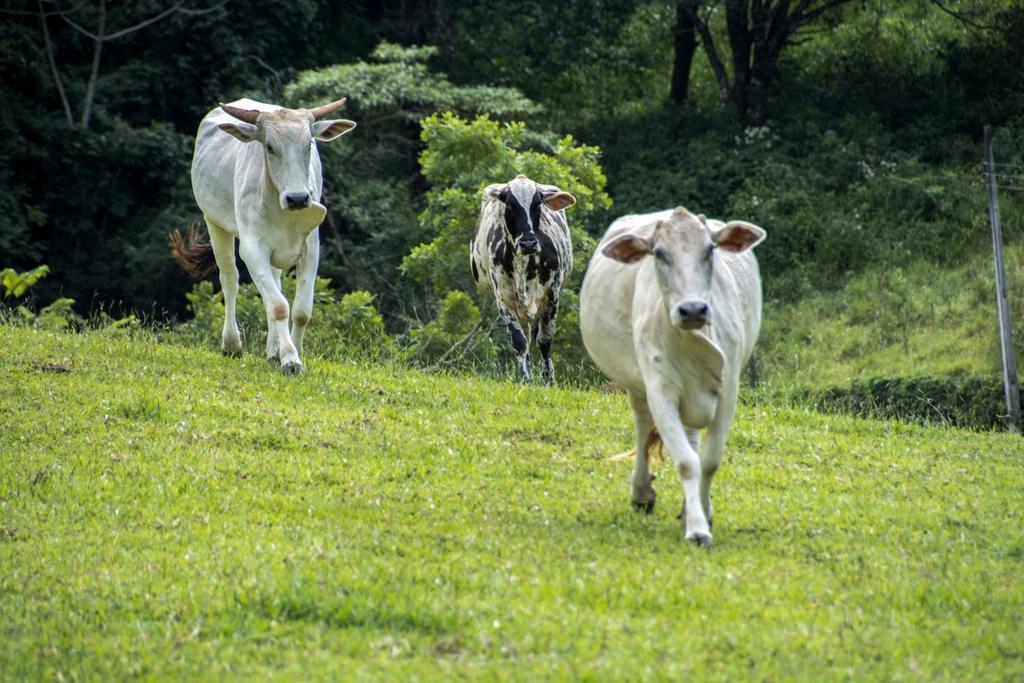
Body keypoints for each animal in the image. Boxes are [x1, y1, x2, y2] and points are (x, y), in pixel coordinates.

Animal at [172, 97, 356, 374]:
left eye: (309, 144)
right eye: (269, 146)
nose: (298, 198)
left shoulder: (311, 247)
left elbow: (301, 310)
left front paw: (292, 351)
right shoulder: (252, 247)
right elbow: (279, 306)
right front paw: (290, 359)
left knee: (275, 284)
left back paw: (272, 350)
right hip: (214, 222)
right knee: (230, 279)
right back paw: (232, 344)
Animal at [471, 174, 577, 382]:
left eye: (537, 204)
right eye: (510, 204)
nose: (528, 243)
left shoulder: (552, 294)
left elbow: (544, 340)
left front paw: (548, 380)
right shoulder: (503, 298)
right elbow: (519, 342)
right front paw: (526, 379)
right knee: (526, 338)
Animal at [581, 205, 765, 548]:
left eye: (710, 249)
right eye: (659, 253)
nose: (692, 309)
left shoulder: (729, 391)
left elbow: (708, 461)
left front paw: (701, 512)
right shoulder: (660, 389)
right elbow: (686, 462)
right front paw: (697, 528)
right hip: (636, 385)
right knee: (643, 428)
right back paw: (642, 492)